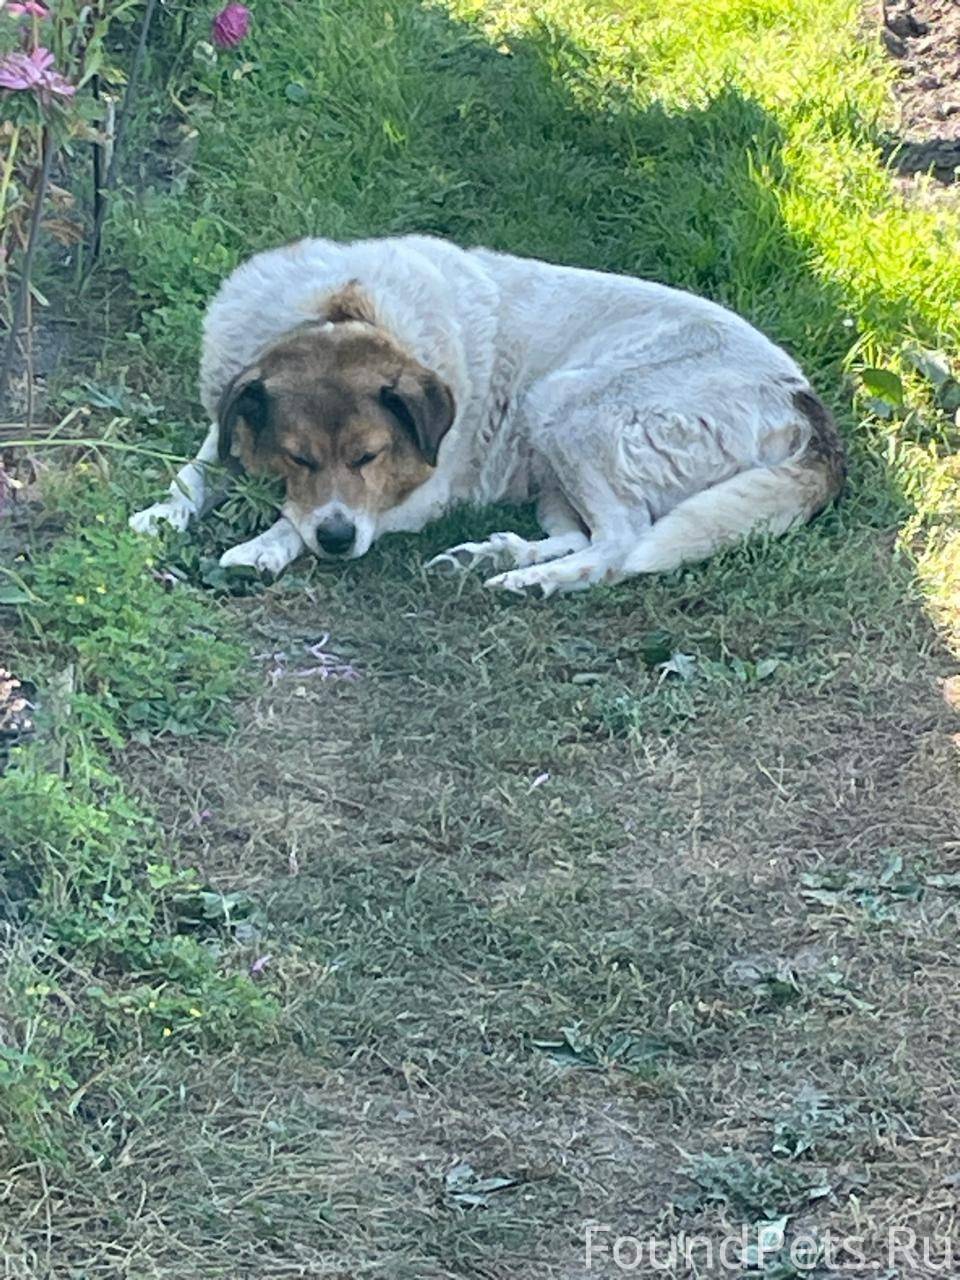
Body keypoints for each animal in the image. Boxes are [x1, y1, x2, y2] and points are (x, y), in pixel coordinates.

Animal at [129, 234, 845, 596]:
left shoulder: (415, 494)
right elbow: (195, 472)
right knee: (583, 533)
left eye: (369, 456)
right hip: (550, 454)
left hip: (564, 405)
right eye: (298, 457)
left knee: (621, 542)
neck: (345, 308)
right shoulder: (230, 414)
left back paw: (538, 581)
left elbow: (295, 521)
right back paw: (491, 556)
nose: (337, 542)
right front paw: (161, 516)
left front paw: (264, 547)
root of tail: (803, 404)